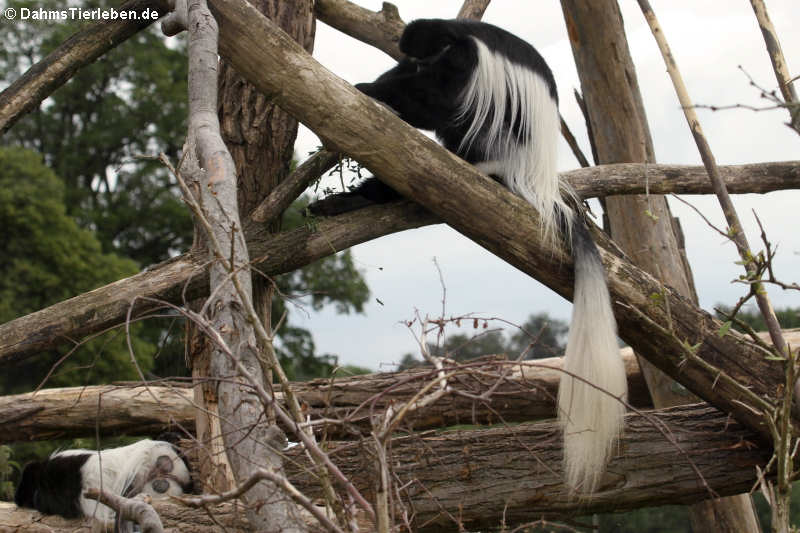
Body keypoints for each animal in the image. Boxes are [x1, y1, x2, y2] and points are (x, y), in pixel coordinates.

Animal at [312, 17, 624, 490]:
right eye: (414, 56)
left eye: (430, 52)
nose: (416, 62)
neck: (457, 33)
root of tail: (529, 177)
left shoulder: (467, 62)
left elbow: (440, 103)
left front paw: (371, 88)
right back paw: (353, 200)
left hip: (495, 139)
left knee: (467, 122)